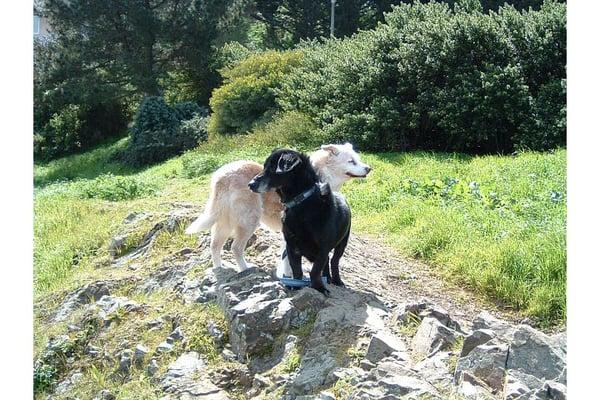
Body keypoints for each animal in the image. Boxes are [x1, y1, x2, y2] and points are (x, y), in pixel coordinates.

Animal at [185, 143, 370, 276]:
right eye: (351, 161)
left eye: (358, 159)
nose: (369, 168)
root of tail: (221, 177)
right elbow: (290, 258)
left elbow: (286, 256)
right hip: (249, 221)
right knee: (236, 248)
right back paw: (245, 269)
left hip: (225, 221)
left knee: (214, 245)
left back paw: (219, 268)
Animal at [248, 148, 352, 296]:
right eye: (264, 167)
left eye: (272, 168)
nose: (250, 184)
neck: (301, 204)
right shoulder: (291, 246)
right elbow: (297, 269)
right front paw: (296, 285)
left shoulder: (323, 248)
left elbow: (315, 270)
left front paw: (319, 287)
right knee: (327, 263)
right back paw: (327, 278)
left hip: (342, 243)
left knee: (334, 261)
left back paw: (336, 280)